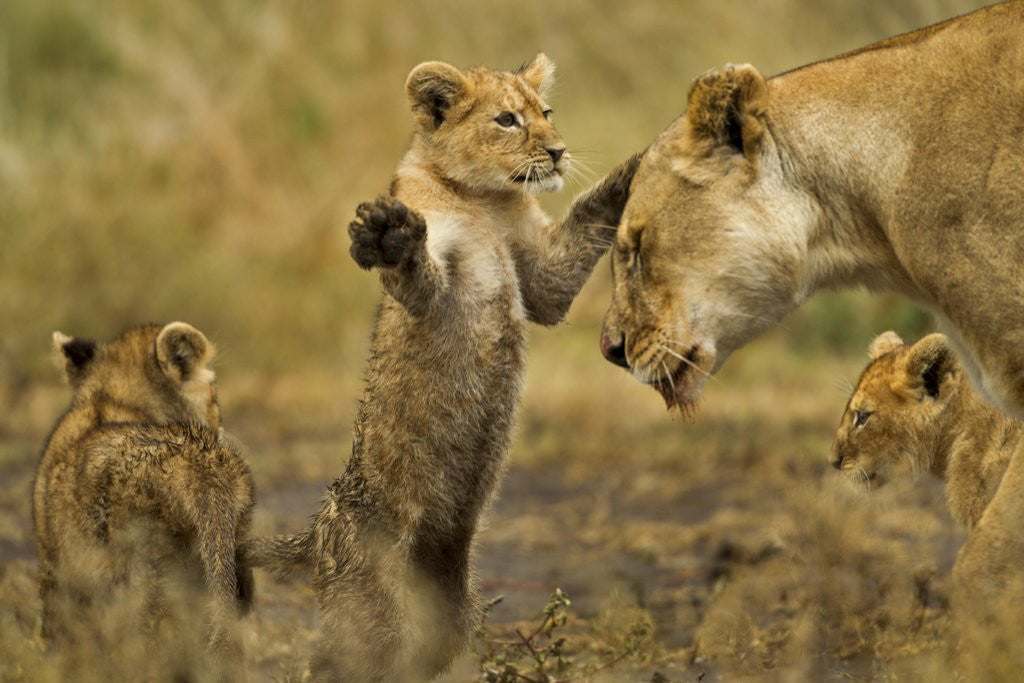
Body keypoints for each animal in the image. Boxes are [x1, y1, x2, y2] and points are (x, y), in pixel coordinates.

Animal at [244, 54, 639, 681]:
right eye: (507, 120)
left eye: (546, 111)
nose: (557, 152)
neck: (483, 200)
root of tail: (318, 527)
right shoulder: (435, 282)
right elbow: (416, 276)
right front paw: (391, 238)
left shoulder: (545, 279)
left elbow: (589, 214)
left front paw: (642, 164)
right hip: (369, 600)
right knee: (337, 661)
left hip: (449, 603)